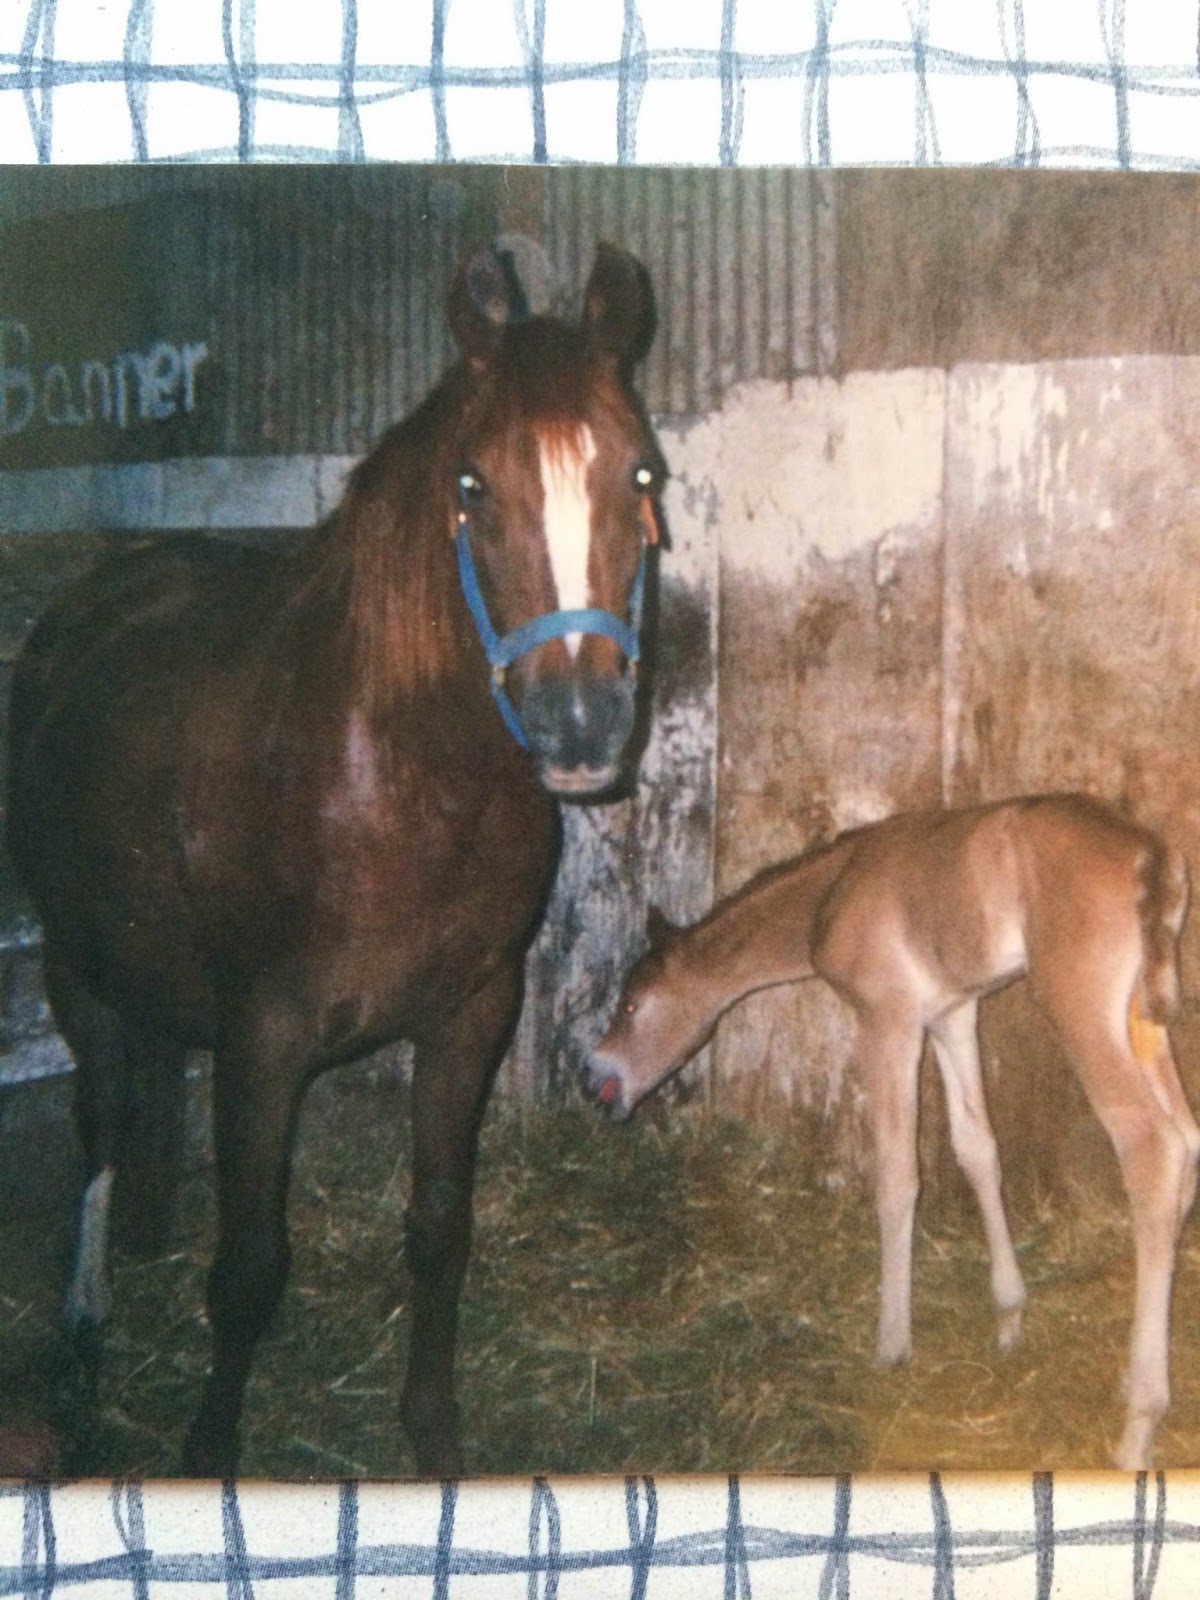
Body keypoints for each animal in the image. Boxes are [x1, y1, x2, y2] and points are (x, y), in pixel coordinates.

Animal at [6, 240, 666, 1478]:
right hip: (74, 962)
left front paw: (434, 1439)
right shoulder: (265, 1038)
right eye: (471, 486)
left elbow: (440, 1228)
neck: (399, 777)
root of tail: (94, 597)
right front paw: (206, 1450)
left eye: (643, 474)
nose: (580, 725)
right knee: (101, 1117)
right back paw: (81, 1331)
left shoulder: (470, 1013)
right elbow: (250, 1268)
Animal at [585, 793, 1200, 1471]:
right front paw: (1009, 1314)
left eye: (632, 1006)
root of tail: (1152, 853)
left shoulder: (888, 1018)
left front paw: (891, 1343)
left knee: (1151, 1146)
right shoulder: (953, 1013)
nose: (592, 1077)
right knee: (1186, 1141)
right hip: (1144, 1021)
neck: (832, 890)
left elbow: (898, 1176)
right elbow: (977, 1149)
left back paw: (1138, 1424)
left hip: (1084, 1010)